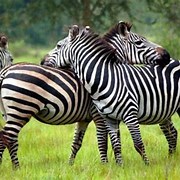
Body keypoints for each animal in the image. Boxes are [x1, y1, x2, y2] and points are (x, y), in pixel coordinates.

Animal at [46, 25, 180, 165]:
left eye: (58, 46)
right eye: (138, 42)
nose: (166, 55)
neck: (106, 77)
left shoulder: (109, 116)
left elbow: (106, 142)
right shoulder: (103, 117)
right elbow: (109, 142)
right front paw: (112, 165)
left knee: (171, 133)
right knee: (172, 133)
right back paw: (170, 159)